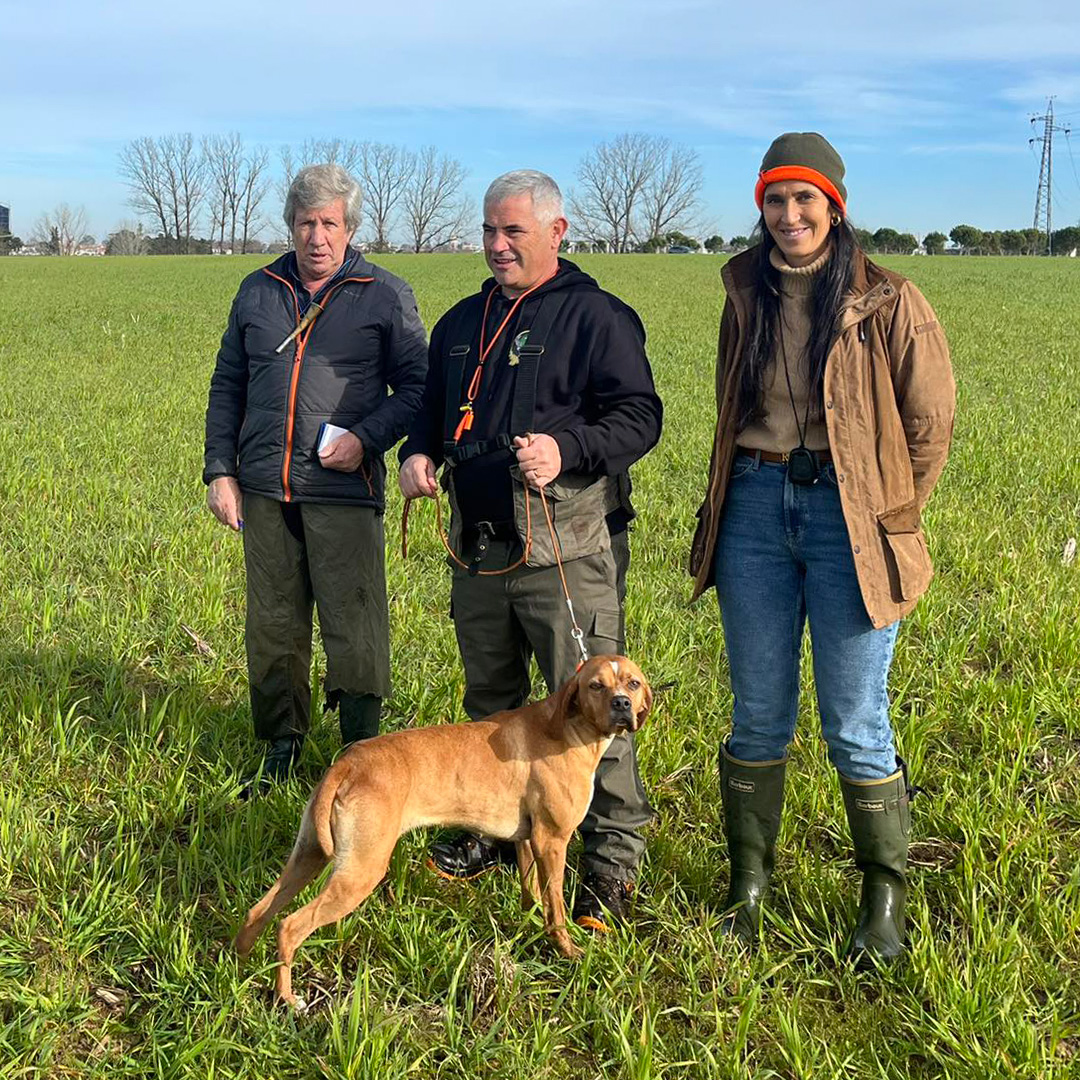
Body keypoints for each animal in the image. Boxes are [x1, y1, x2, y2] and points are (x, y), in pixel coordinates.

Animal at [234, 652, 648, 1006]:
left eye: (633, 683)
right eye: (596, 685)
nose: (622, 704)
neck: (568, 728)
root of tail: (348, 764)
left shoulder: (529, 841)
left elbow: (533, 897)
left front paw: (529, 930)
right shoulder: (552, 841)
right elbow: (557, 910)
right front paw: (568, 951)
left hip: (309, 856)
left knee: (258, 912)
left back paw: (241, 970)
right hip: (360, 871)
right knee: (289, 926)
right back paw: (287, 998)